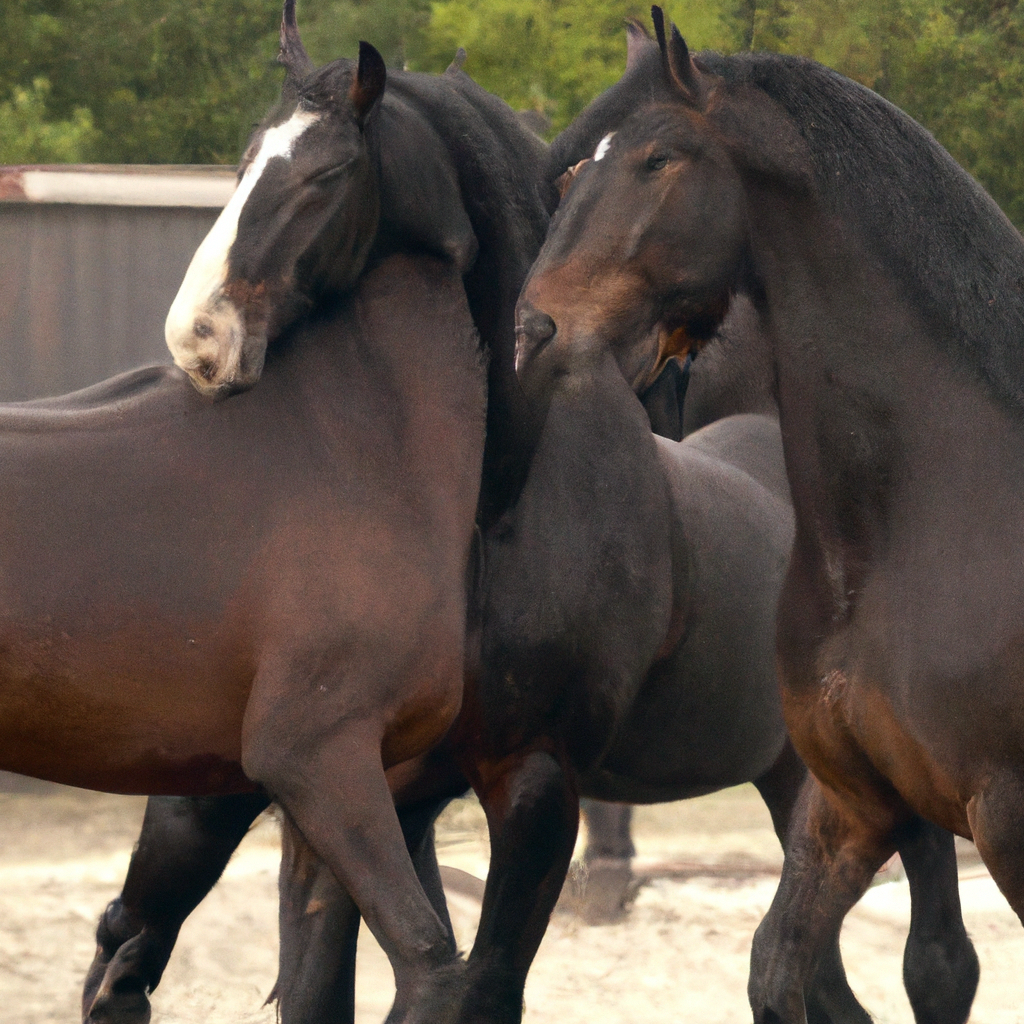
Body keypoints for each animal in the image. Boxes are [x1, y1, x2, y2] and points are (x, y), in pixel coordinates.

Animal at [520, 9, 1024, 1024]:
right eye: (573, 170)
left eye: (659, 159)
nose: (534, 328)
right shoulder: (853, 798)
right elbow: (787, 968)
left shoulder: (1008, 812)